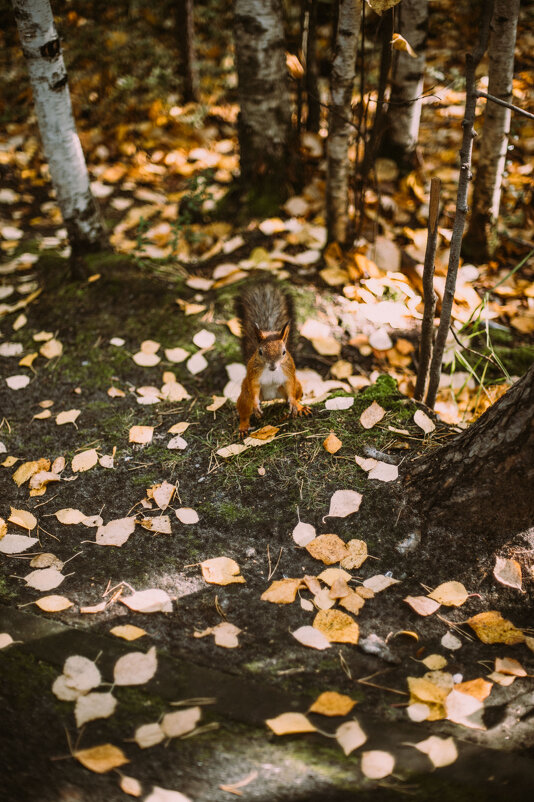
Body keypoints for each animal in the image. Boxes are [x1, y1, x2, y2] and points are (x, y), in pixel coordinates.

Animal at [237, 278, 312, 434]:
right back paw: (244, 426)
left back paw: (300, 407)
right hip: (245, 396)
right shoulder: (254, 375)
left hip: (297, 387)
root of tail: (270, 397)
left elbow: (290, 387)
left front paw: (294, 403)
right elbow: (254, 387)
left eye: (284, 352)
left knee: (295, 394)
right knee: (244, 411)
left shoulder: (288, 373)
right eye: (260, 352)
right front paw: (256, 407)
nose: (272, 366)